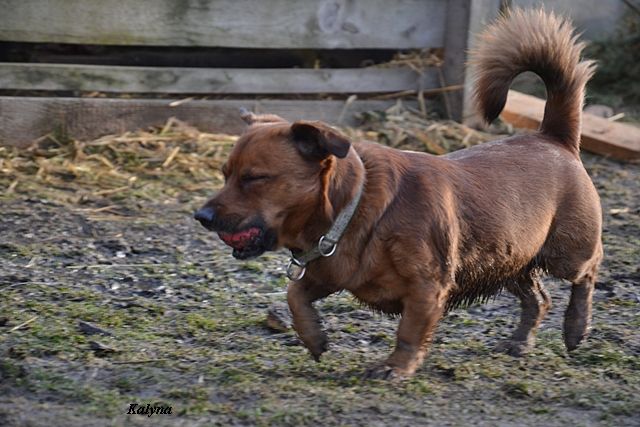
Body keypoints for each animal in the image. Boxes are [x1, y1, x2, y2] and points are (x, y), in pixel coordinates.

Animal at [194, 9, 602, 379]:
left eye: (254, 178)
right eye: (225, 175)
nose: (201, 217)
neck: (353, 208)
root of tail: (553, 137)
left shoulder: (426, 289)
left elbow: (409, 331)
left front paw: (396, 366)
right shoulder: (326, 275)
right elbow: (294, 296)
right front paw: (313, 337)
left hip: (566, 254)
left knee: (588, 272)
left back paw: (576, 327)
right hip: (509, 260)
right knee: (539, 299)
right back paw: (520, 341)